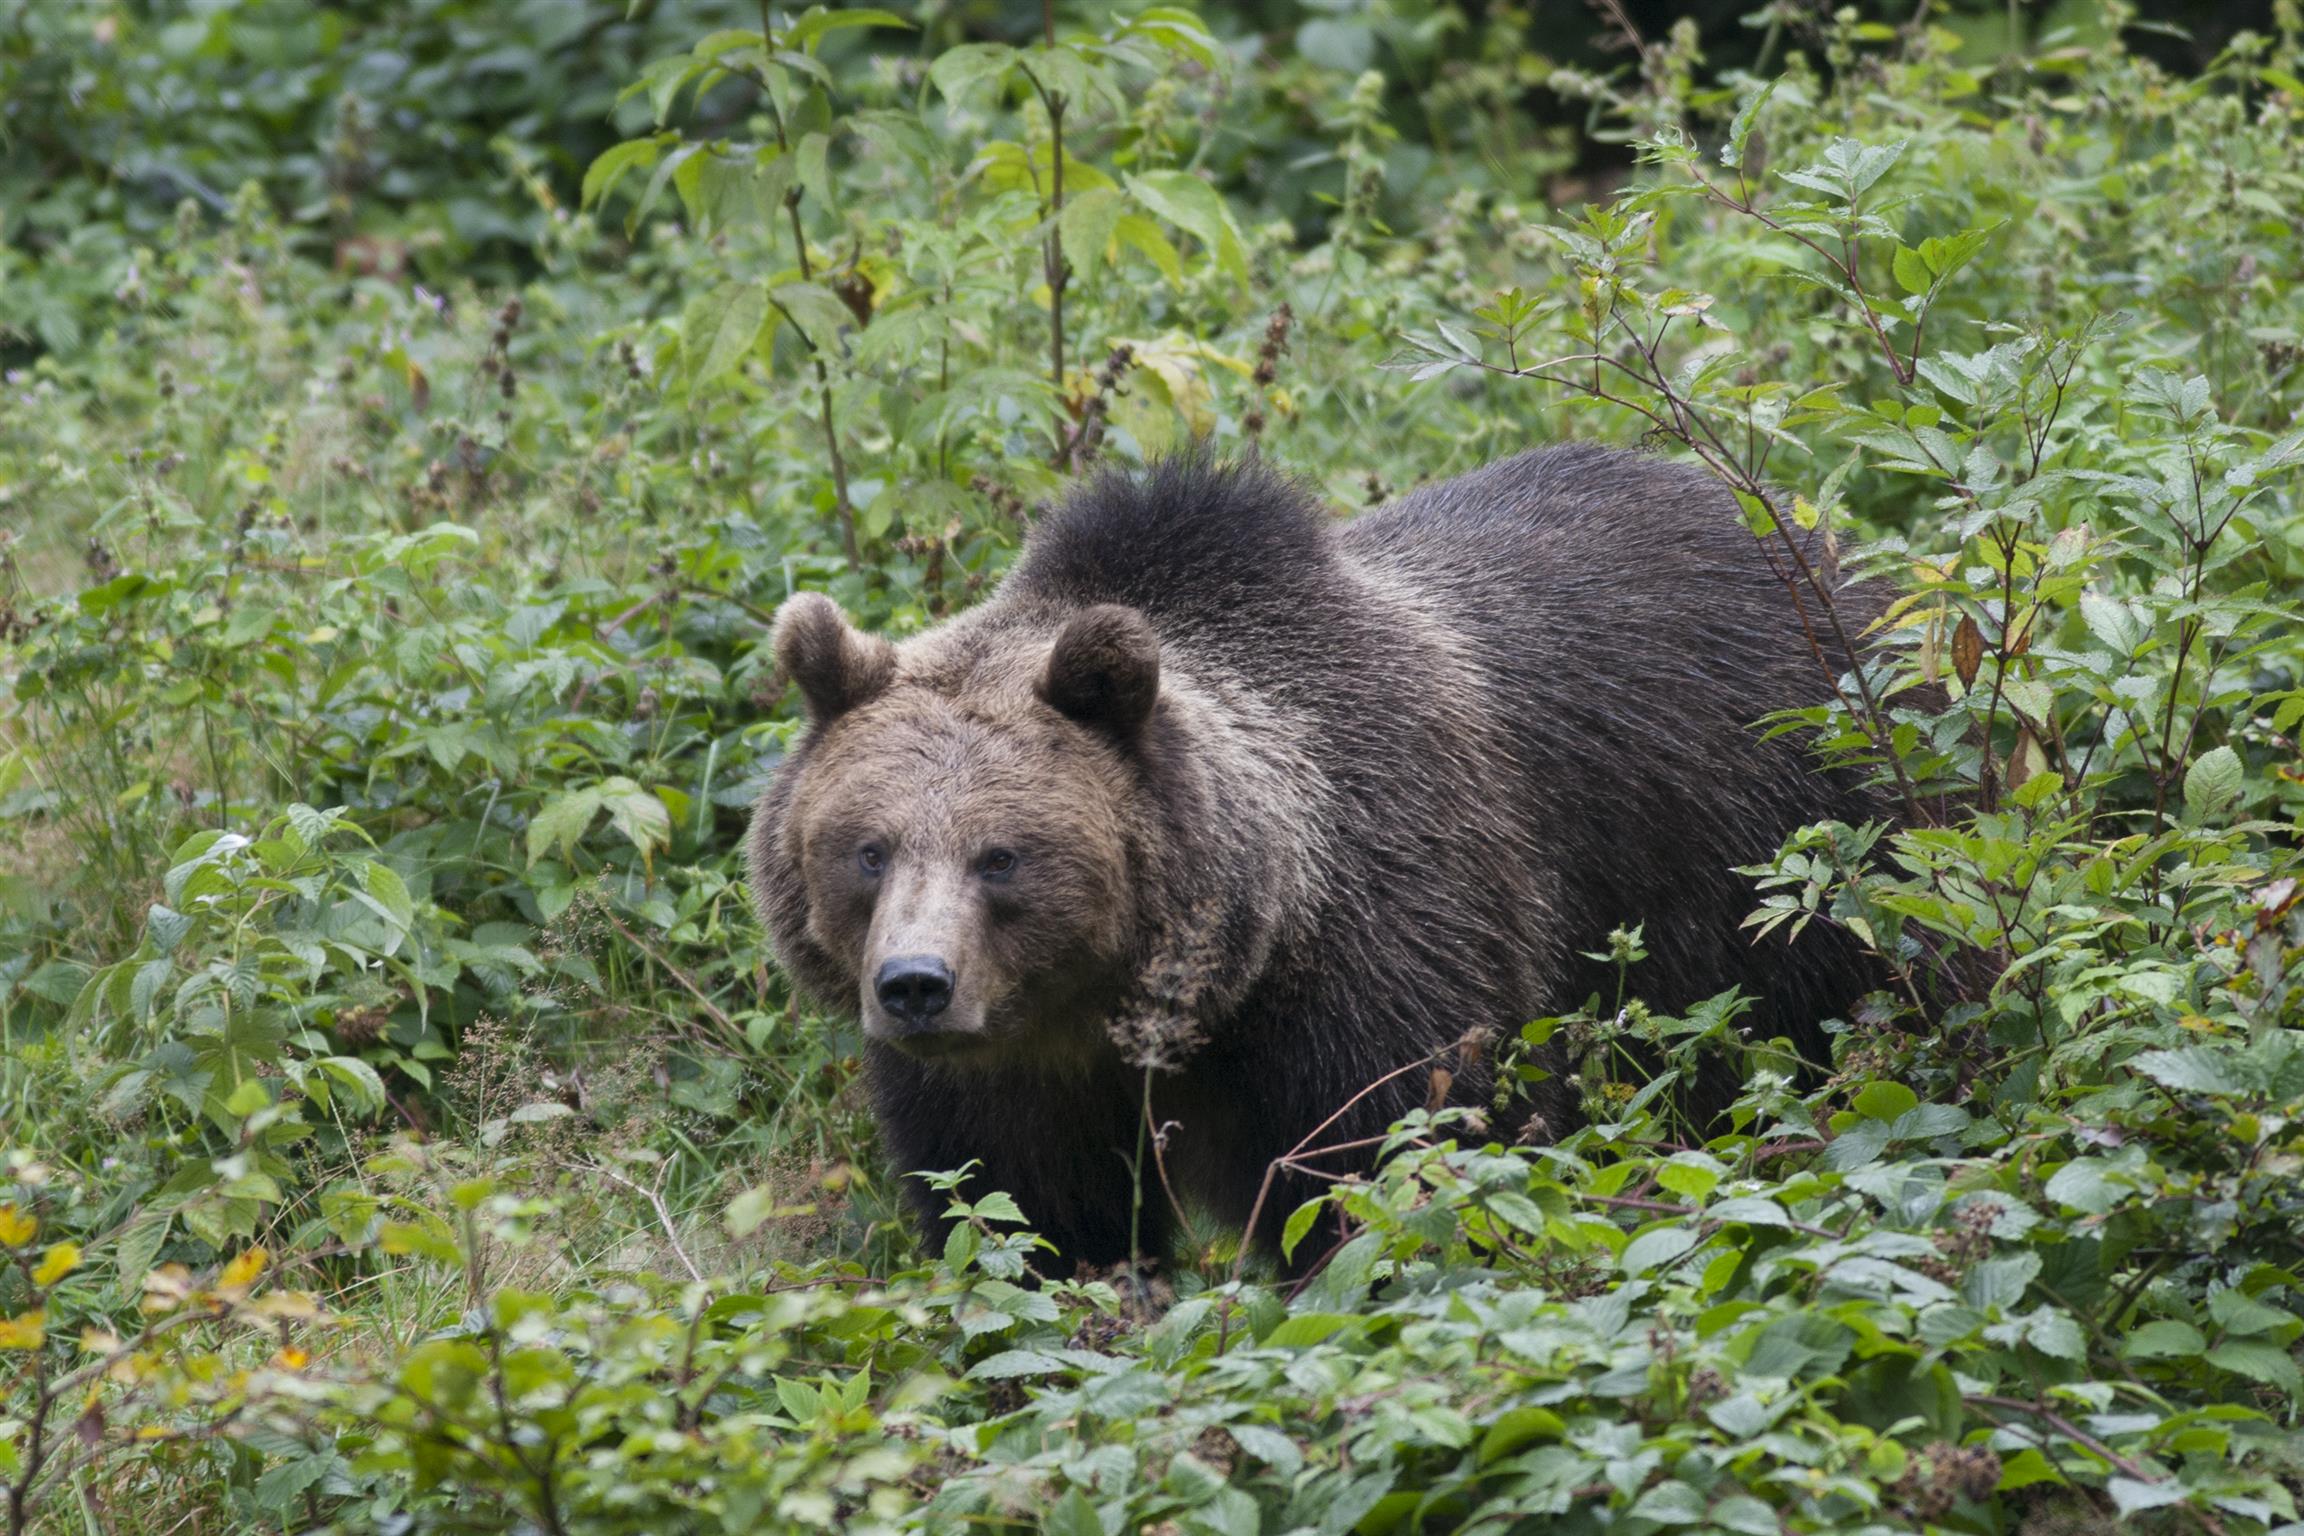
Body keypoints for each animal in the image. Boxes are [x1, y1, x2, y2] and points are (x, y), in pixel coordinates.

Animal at [751, 444, 1889, 1271]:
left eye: (1002, 857)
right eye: (867, 849)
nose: (916, 985)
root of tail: (1825, 542)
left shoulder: (1385, 943)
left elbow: (1398, 1170)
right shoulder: (1008, 1078)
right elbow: (1020, 1211)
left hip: (1785, 849)